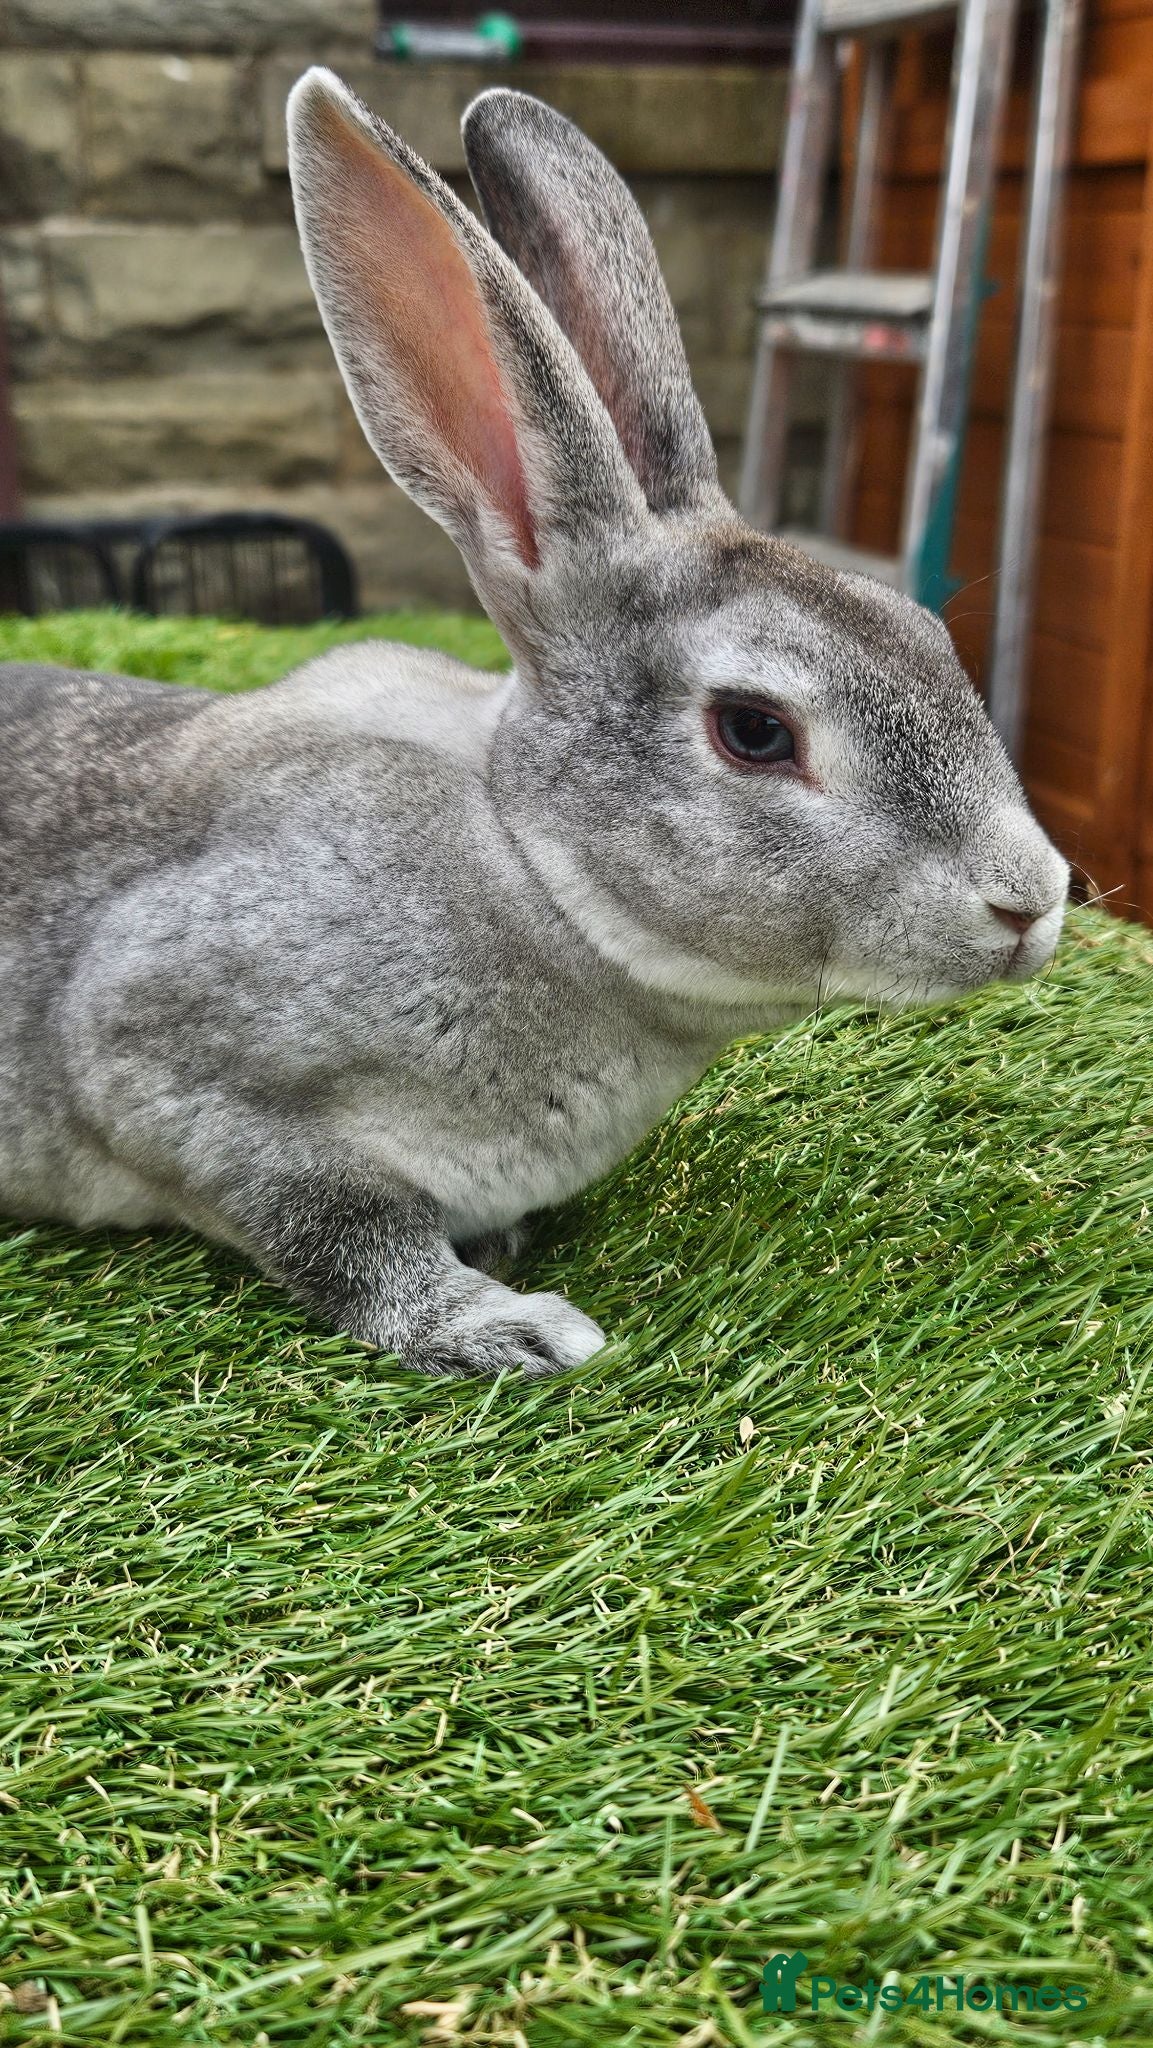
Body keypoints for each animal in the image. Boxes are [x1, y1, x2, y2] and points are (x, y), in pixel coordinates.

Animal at [0, 70, 1068, 1380]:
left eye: (919, 627)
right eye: (754, 730)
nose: (1031, 900)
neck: (530, 870)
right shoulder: (171, 1068)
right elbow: (339, 1226)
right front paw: (504, 1327)